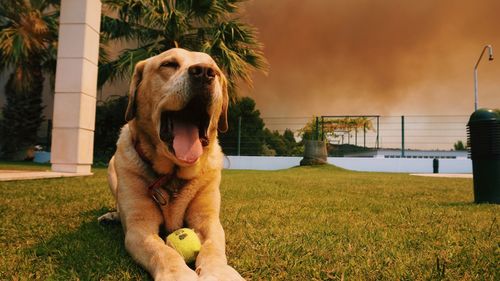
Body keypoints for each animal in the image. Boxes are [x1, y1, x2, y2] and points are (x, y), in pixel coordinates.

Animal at [98, 48, 244, 280]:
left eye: (216, 70)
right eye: (168, 64)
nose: (204, 72)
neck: (174, 172)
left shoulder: (208, 220)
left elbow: (212, 247)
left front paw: (220, 272)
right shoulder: (140, 227)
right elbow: (163, 251)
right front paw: (178, 274)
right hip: (112, 172)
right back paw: (112, 216)